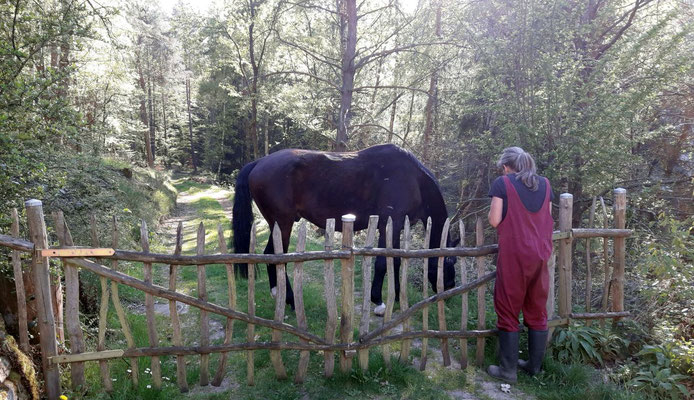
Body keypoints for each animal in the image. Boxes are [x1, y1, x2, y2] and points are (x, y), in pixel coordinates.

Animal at [234, 144, 460, 312]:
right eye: (449, 263)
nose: (450, 290)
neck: (414, 180)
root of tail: (259, 162)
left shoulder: (395, 227)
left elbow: (394, 260)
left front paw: (395, 296)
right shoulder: (390, 223)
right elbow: (382, 263)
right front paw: (379, 301)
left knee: (270, 256)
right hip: (283, 223)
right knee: (275, 257)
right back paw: (290, 299)